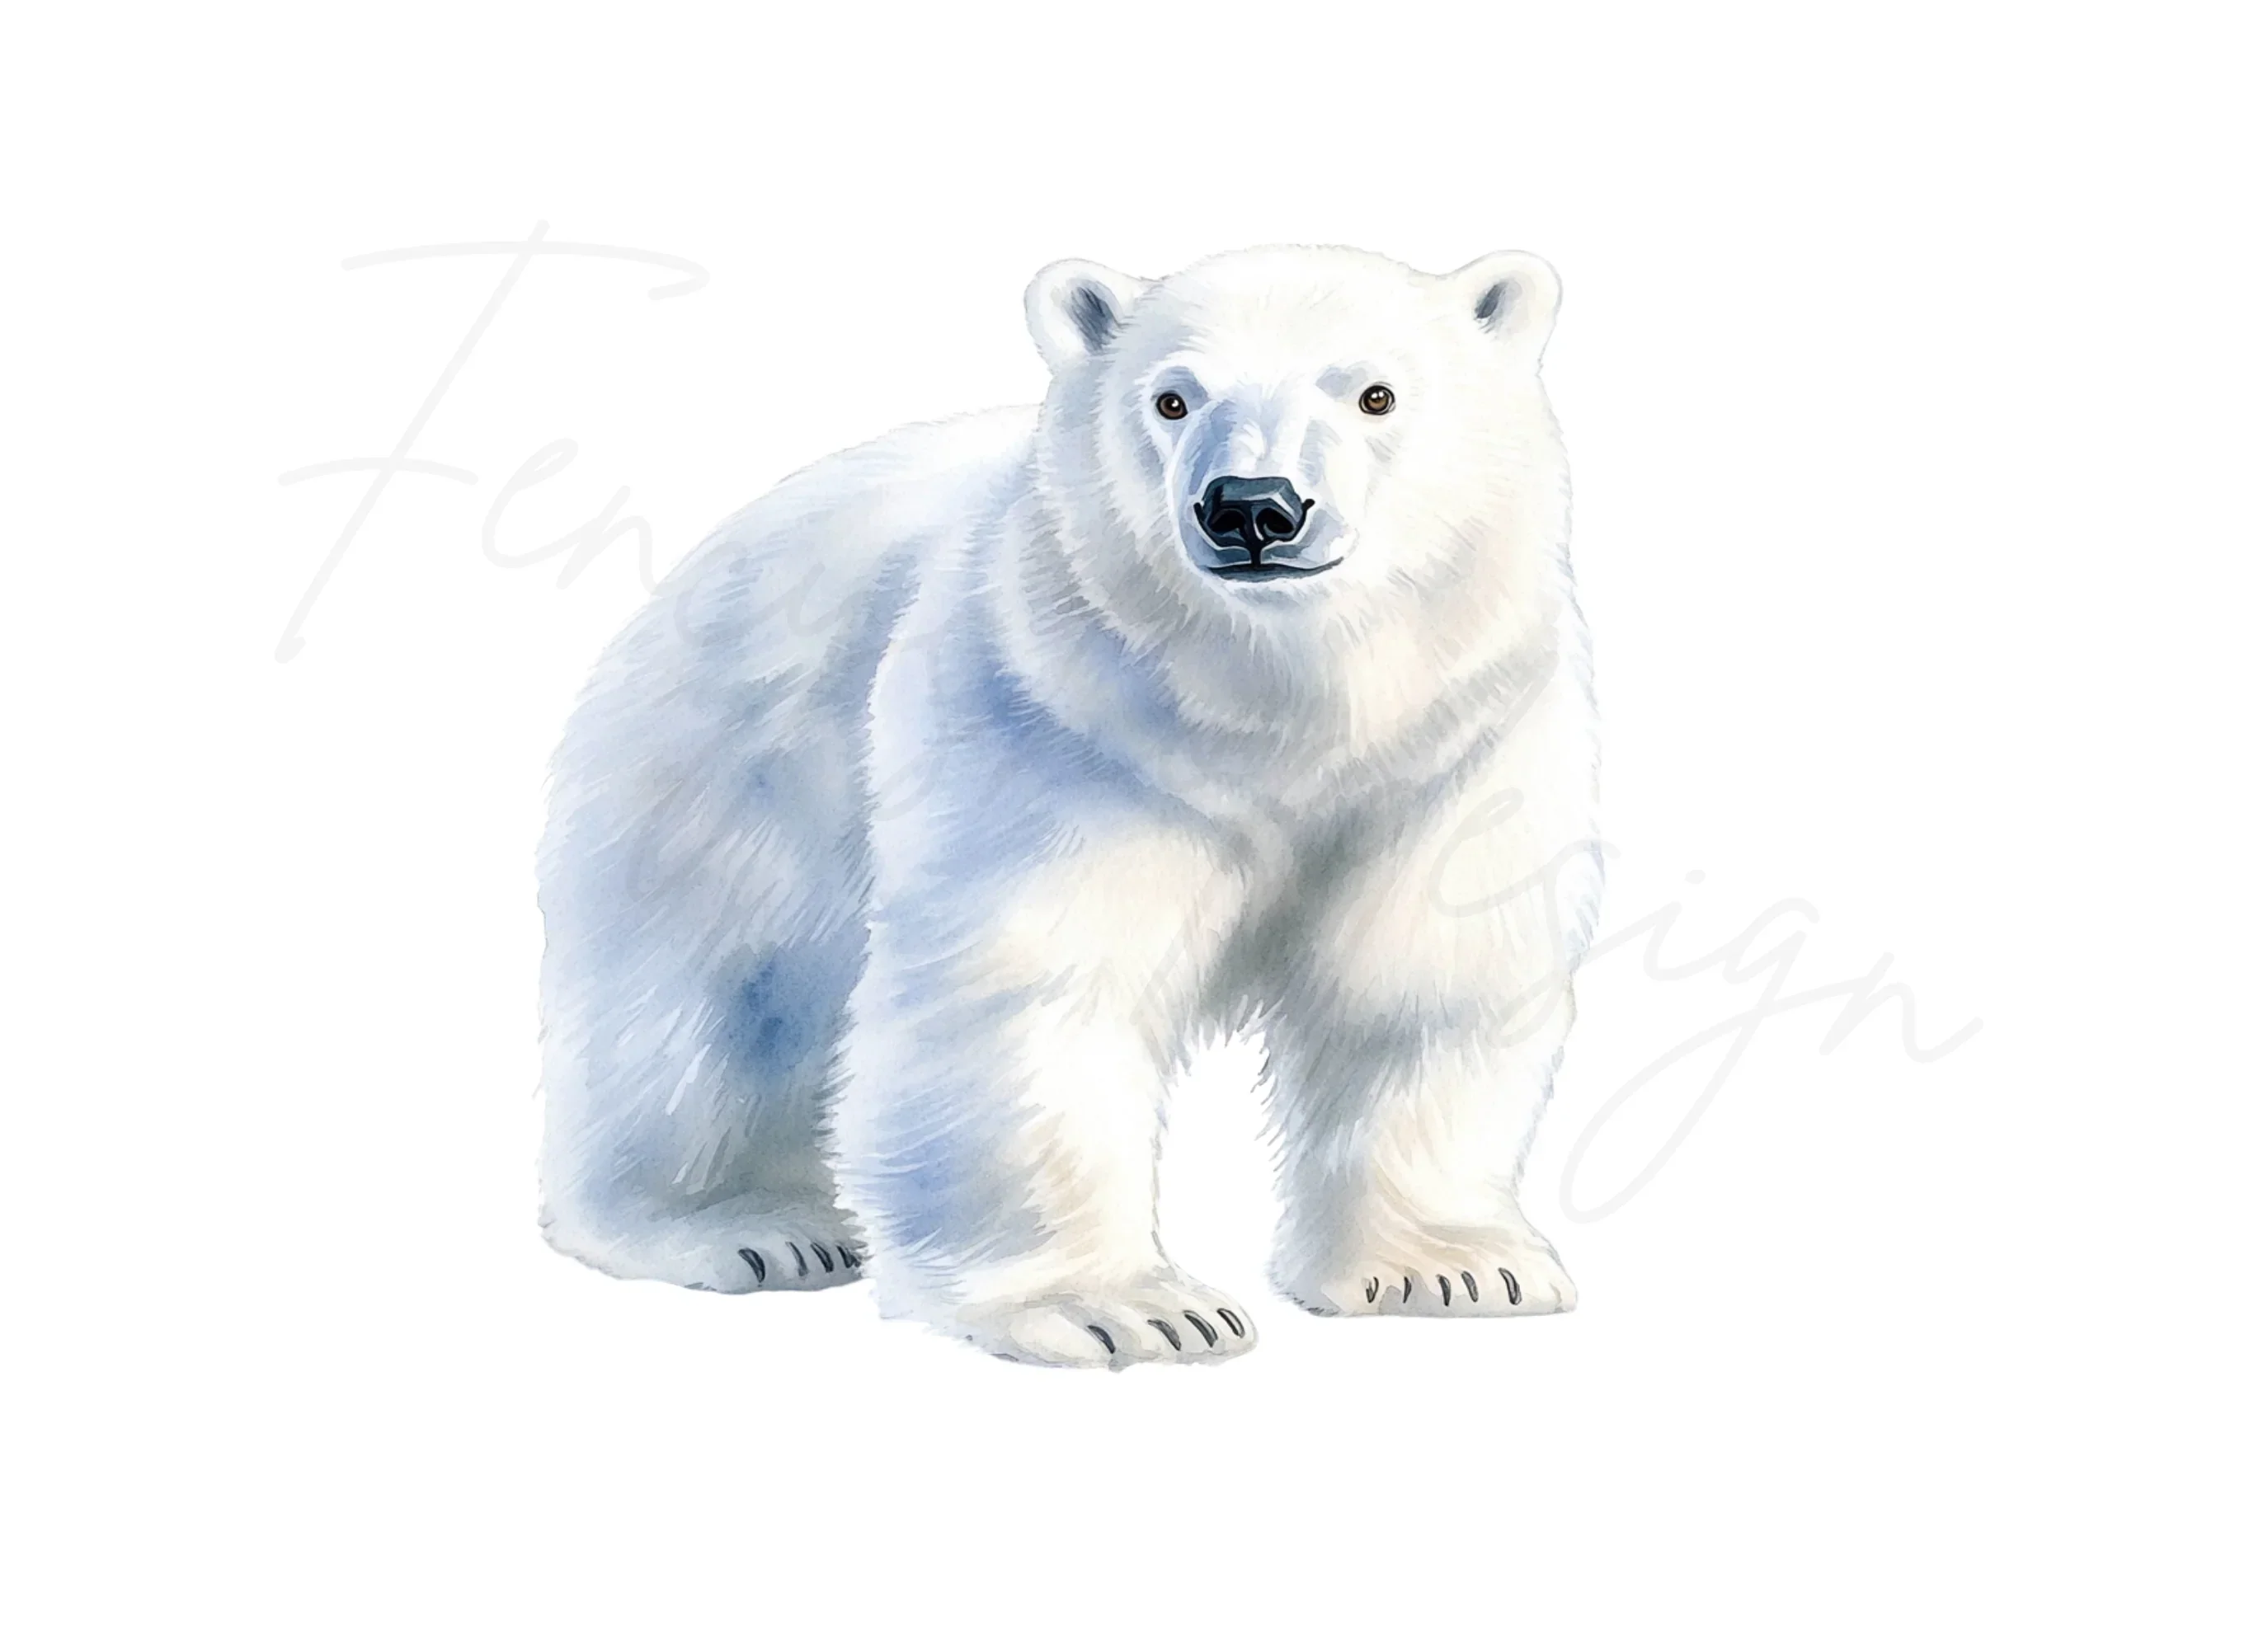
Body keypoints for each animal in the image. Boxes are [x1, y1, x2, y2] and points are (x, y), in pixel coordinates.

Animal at [536, 244, 1602, 1367]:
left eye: (1375, 394)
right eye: (1173, 397)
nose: (1251, 506)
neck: (1277, 711)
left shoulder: (1449, 757)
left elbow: (1421, 977)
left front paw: (1451, 1266)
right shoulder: (1061, 726)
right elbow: (1035, 989)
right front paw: (1131, 1307)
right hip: (718, 780)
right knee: (695, 1012)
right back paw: (741, 1225)